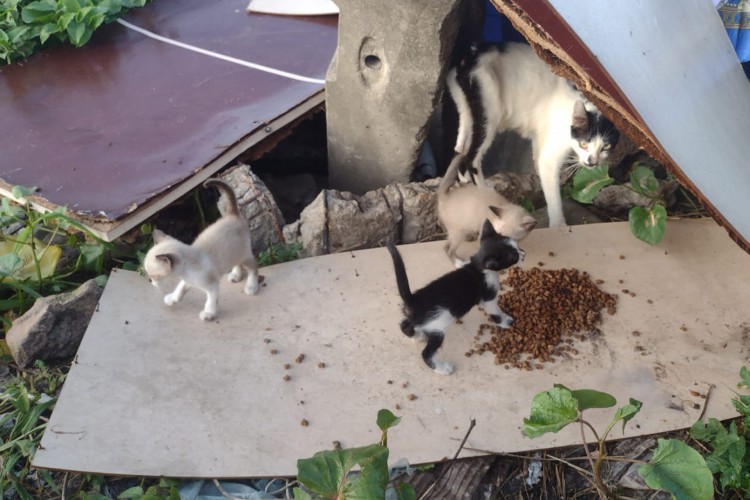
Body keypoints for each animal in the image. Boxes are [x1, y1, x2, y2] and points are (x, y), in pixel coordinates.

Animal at [145, 178, 262, 322]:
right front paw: (171, 299)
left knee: (253, 266)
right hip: (232, 253)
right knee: (236, 263)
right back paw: (235, 275)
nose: (149, 280)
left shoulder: (212, 287)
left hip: (243, 254)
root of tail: (232, 214)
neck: (186, 269)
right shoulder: (187, 281)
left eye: (153, 275)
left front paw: (208, 313)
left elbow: (210, 301)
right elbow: (179, 289)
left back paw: (251, 287)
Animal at [388, 219, 524, 376]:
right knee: (426, 353)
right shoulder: (488, 298)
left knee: (404, 324)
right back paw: (442, 368)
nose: (523, 253)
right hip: (438, 325)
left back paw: (417, 336)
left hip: (420, 319)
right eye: (514, 256)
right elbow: (496, 312)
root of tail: (412, 299)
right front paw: (506, 321)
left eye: (517, 246)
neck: (478, 267)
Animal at [446, 42, 624, 228]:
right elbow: (552, 187)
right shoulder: (551, 152)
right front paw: (558, 224)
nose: (593, 162)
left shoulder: (541, 138)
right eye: (584, 144)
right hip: (488, 111)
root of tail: (466, 57)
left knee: (460, 147)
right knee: (471, 156)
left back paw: (464, 180)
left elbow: (539, 163)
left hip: (468, 112)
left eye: (606, 146)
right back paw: (482, 190)